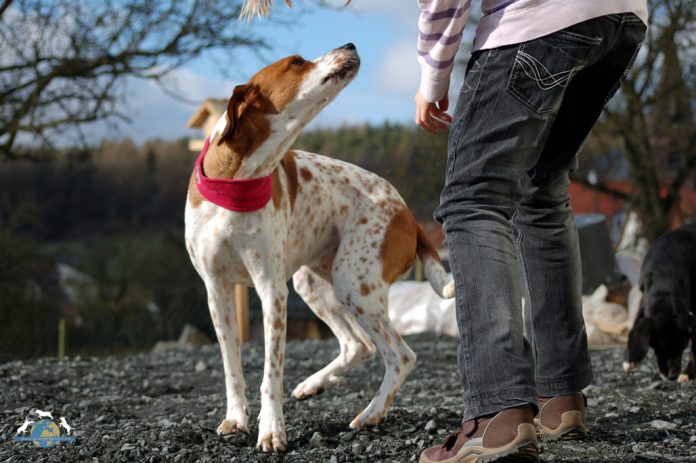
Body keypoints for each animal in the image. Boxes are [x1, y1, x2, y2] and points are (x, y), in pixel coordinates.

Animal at [185, 44, 454, 454]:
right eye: (296, 62)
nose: (350, 45)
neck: (237, 181)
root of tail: (407, 213)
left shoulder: (271, 291)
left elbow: (270, 375)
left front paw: (271, 430)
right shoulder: (217, 290)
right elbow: (232, 368)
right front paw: (236, 420)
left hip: (353, 283)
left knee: (400, 356)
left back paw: (372, 413)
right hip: (316, 284)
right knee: (359, 346)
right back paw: (314, 384)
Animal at [624, 224, 696, 380]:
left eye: (682, 347)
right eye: (659, 348)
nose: (672, 376)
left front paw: (688, 373)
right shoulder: (644, 297)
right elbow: (636, 323)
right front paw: (630, 358)